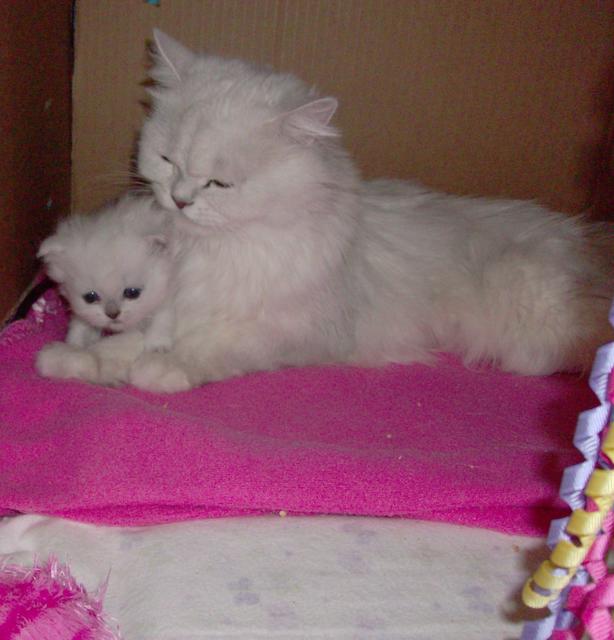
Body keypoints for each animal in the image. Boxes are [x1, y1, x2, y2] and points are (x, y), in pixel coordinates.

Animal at [36, 195, 175, 384]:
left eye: (132, 293)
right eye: (90, 297)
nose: (113, 314)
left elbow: (163, 315)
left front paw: (157, 346)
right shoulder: (83, 315)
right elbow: (80, 327)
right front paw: (74, 346)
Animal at [98, 29, 612, 393]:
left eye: (219, 184)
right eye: (167, 160)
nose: (180, 198)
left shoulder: (302, 330)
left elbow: (219, 343)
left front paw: (162, 369)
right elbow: (137, 331)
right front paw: (106, 360)